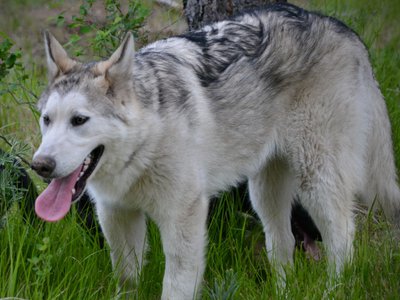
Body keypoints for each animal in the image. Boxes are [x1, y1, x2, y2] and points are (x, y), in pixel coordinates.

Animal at [30, 3, 400, 298]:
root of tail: (345, 30)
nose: (40, 165)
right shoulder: (116, 215)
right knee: (282, 245)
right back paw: (283, 291)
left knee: (343, 239)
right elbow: (126, 281)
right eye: (47, 119)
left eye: (79, 120)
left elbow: (175, 286)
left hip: (317, 181)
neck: (144, 147)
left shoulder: (183, 218)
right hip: (264, 193)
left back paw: (333, 290)